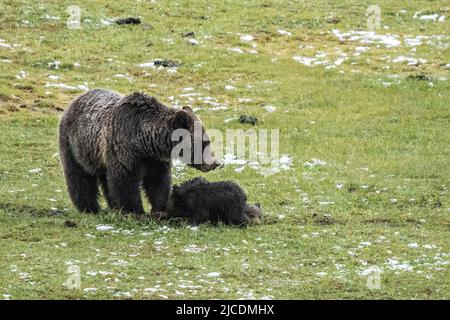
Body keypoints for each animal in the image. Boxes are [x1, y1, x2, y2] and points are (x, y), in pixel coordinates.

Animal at [59, 89, 221, 214]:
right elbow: (125, 182)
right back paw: (89, 207)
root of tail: (76, 99)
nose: (215, 163)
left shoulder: (155, 160)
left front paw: (159, 206)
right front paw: (135, 210)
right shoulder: (124, 152)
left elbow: (158, 183)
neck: (145, 142)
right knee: (80, 178)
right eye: (205, 142)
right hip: (76, 147)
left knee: (106, 180)